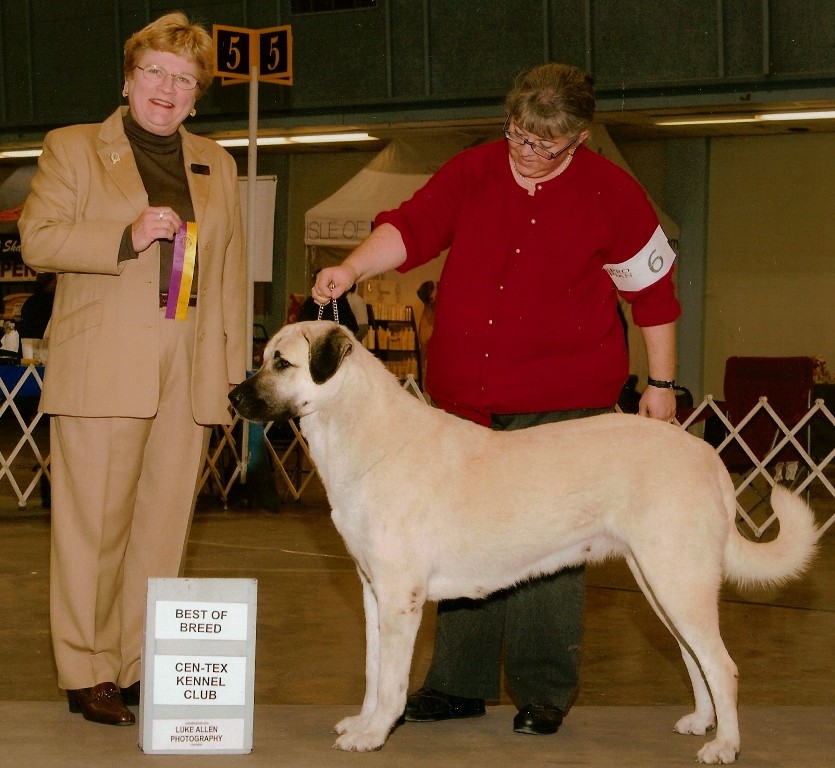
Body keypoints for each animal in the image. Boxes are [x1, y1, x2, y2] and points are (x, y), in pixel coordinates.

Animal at [230, 320, 824, 764]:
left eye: (282, 362)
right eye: (264, 357)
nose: (234, 396)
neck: (359, 429)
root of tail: (707, 456)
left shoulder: (402, 597)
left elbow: (394, 679)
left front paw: (374, 735)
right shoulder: (373, 591)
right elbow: (375, 670)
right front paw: (363, 720)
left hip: (677, 578)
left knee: (722, 665)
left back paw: (725, 745)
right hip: (661, 581)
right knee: (693, 655)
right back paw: (702, 723)